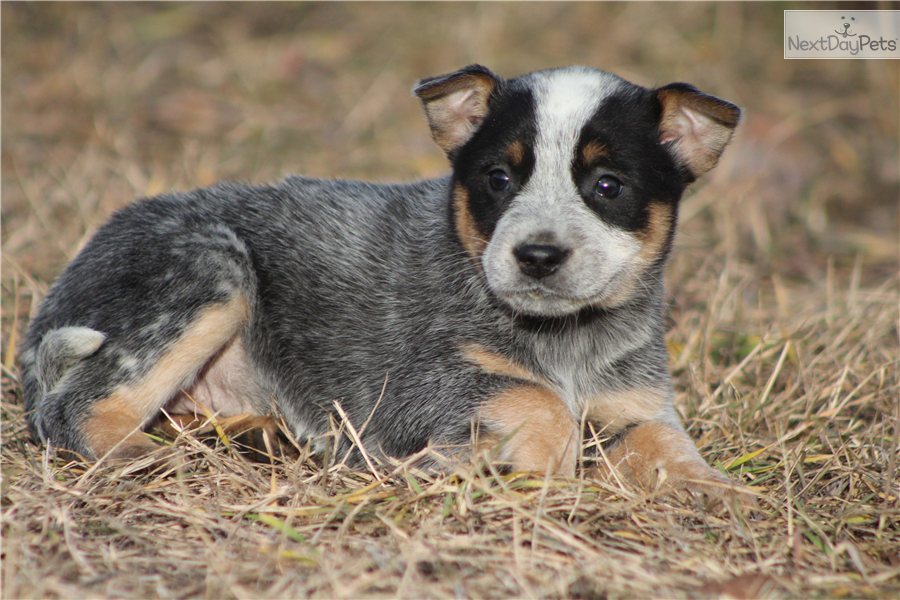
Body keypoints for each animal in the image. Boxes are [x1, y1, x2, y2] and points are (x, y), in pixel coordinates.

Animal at [17, 64, 740, 496]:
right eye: (499, 178)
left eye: (608, 186)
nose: (537, 255)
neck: (564, 339)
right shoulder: (409, 393)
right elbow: (538, 400)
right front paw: (523, 467)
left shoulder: (635, 403)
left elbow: (668, 441)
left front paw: (714, 491)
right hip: (213, 270)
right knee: (71, 408)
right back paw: (150, 458)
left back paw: (261, 437)